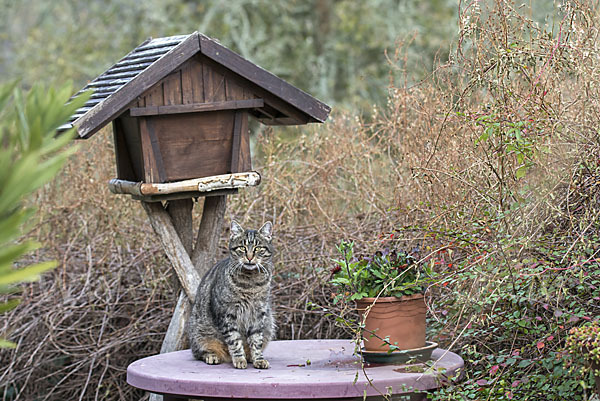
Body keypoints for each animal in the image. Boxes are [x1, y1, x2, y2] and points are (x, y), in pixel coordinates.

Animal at [188, 220, 276, 368]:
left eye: (258, 248)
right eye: (242, 248)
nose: (249, 257)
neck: (250, 282)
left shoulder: (258, 314)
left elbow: (256, 340)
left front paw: (258, 358)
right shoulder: (227, 314)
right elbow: (234, 340)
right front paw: (239, 359)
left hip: (269, 324)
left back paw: (249, 357)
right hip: (198, 331)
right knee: (199, 352)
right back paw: (212, 356)